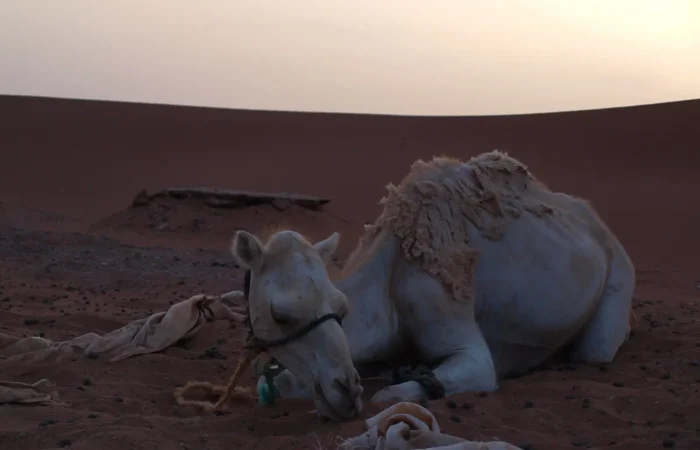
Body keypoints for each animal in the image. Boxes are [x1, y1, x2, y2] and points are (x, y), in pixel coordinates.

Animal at [231, 150, 636, 421]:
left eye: (342, 309)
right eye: (281, 315)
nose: (345, 388)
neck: (390, 284)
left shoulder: (456, 330)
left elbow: (390, 395)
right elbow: (287, 383)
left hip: (620, 269)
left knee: (596, 349)